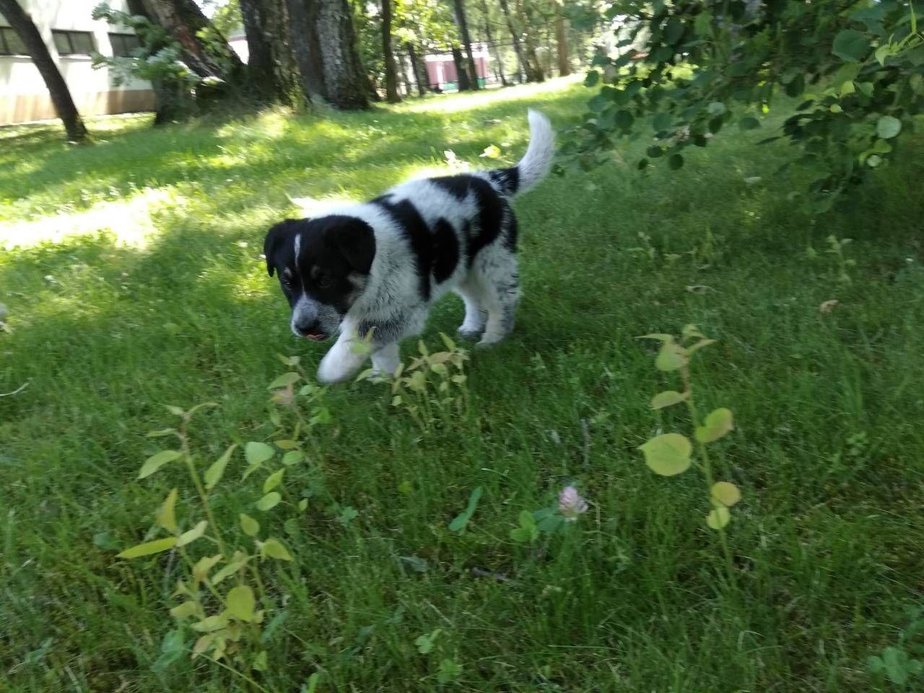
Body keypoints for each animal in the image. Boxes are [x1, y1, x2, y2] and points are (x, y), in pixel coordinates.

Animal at [264, 111, 560, 386]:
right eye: (287, 283)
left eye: (324, 279)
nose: (304, 328)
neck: (372, 266)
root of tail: (489, 180)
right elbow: (379, 348)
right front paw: (385, 377)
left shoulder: (401, 311)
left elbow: (358, 340)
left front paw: (332, 370)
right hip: (459, 262)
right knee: (473, 297)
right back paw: (471, 327)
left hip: (493, 259)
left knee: (502, 301)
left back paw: (493, 338)